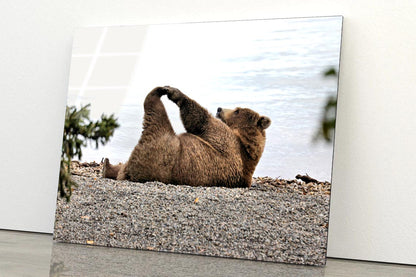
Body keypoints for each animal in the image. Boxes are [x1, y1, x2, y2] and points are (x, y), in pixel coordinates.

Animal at [103, 86, 270, 188]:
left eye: (237, 110)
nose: (219, 109)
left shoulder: (227, 142)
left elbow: (202, 121)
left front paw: (174, 92)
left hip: (161, 151)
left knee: (156, 116)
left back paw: (157, 92)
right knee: (121, 166)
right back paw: (107, 165)